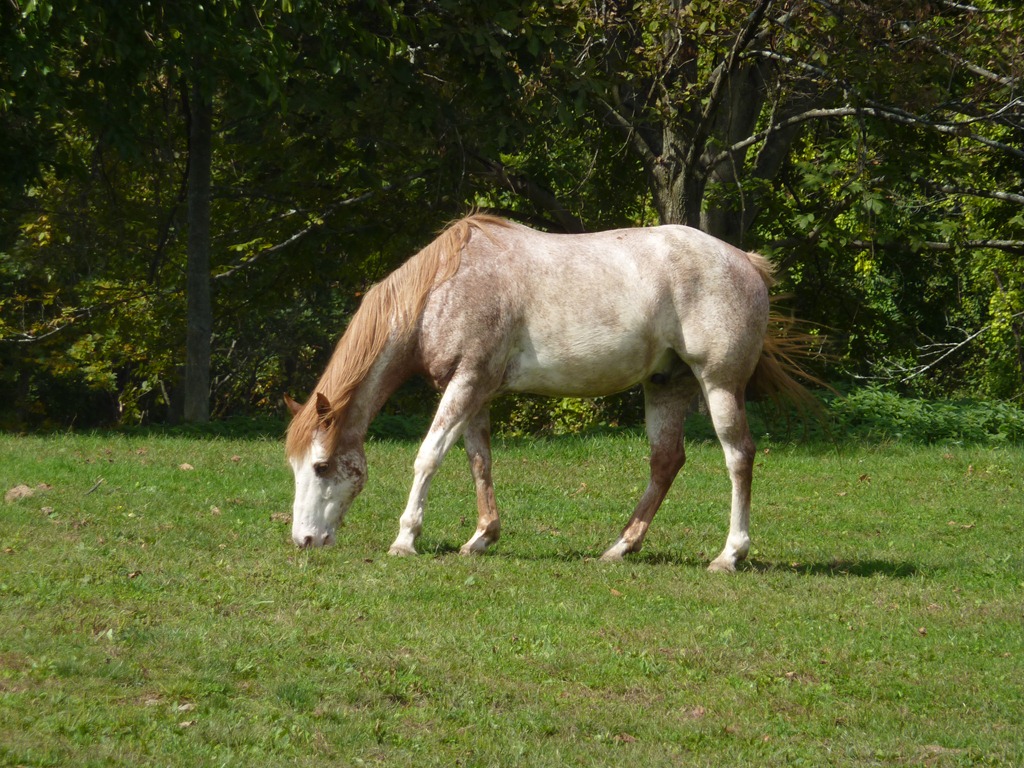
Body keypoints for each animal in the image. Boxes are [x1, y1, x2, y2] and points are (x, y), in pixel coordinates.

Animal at [284, 213, 811, 571]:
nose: (303, 541)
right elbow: (479, 461)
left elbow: (428, 456)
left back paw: (729, 555)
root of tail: (746, 262)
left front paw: (405, 539)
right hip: (667, 386)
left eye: (321, 466)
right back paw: (620, 547)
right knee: (666, 462)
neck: (442, 288)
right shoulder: (476, 392)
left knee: (738, 457)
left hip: (719, 385)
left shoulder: (465, 383)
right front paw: (481, 538)